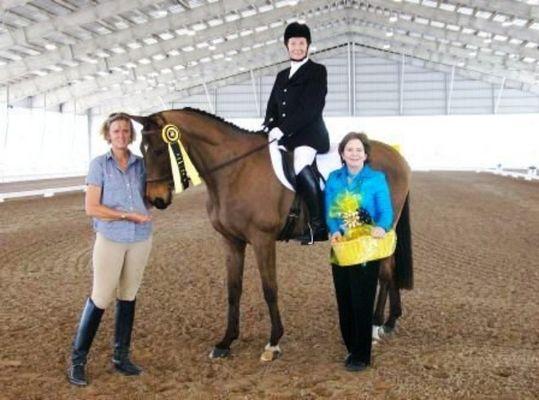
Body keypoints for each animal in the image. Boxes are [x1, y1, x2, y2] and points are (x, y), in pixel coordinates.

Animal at [127, 108, 414, 360]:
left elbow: (269, 288)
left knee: (385, 271)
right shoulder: (231, 241)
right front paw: (225, 342)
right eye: (140, 149)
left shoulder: (262, 239)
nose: (156, 199)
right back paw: (389, 322)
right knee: (389, 269)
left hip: (383, 227)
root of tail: (397, 157)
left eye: (160, 149)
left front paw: (274, 342)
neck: (235, 171)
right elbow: (233, 289)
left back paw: (375, 326)